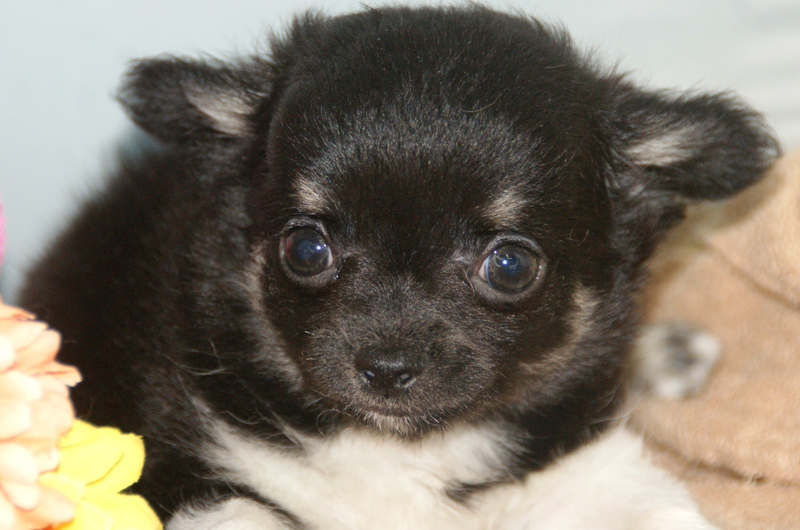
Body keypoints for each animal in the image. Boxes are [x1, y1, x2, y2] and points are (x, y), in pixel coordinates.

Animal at [21, 5, 780, 528]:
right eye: (306, 250)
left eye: (510, 266)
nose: (385, 368)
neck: (405, 452)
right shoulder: (178, 465)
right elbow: (248, 510)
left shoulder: (587, 473)